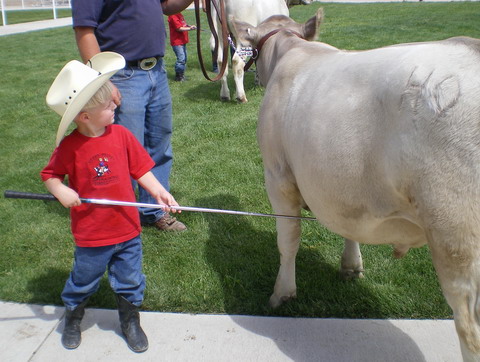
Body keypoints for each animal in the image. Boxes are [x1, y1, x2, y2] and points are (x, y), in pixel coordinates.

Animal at [234, 8, 480, 362]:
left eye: (252, 50)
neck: (294, 50)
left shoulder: (277, 176)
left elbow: (288, 240)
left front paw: (282, 294)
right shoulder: (342, 188)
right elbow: (346, 224)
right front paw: (351, 267)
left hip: (455, 233)